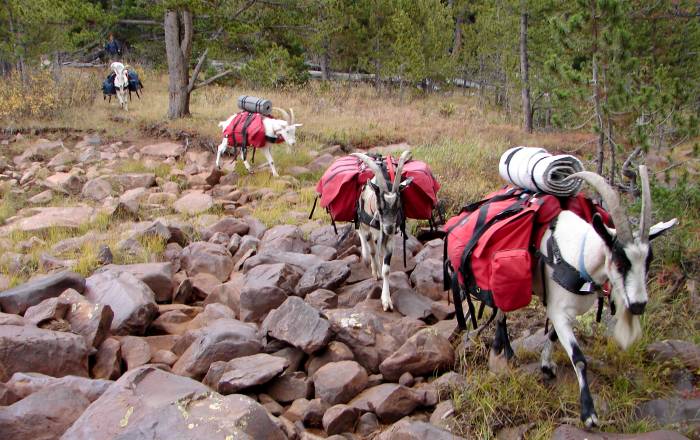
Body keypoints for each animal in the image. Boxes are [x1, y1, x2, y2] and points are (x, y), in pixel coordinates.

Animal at [352, 151, 413, 311]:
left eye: (398, 207)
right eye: (380, 208)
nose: (389, 228)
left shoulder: (389, 239)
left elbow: (386, 269)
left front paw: (386, 300)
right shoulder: (370, 230)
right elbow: (373, 250)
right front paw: (375, 272)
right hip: (362, 222)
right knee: (362, 236)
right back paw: (368, 260)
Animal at [482, 166, 676, 428]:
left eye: (648, 261)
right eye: (619, 262)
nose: (638, 305)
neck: (579, 257)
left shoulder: (564, 311)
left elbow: (553, 335)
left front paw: (546, 365)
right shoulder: (558, 310)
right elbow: (579, 358)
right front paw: (589, 413)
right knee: (502, 311)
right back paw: (504, 350)